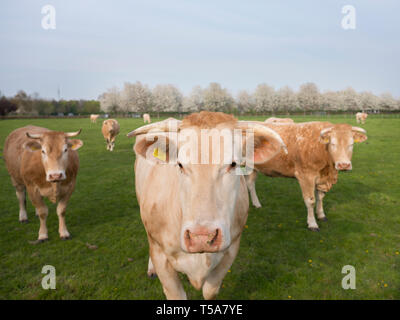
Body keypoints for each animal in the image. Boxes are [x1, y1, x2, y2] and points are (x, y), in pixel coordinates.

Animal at [128, 111, 288, 298]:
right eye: (180, 164)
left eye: (233, 164)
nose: (202, 237)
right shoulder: (162, 258)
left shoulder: (230, 250)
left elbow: (210, 291)